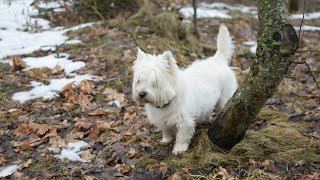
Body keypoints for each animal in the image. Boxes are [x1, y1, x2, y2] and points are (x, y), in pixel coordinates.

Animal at [131, 25, 236, 155]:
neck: (168, 101)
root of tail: (218, 59)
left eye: (155, 82)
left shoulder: (185, 122)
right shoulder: (161, 120)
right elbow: (166, 130)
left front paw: (179, 149)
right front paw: (166, 140)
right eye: (139, 81)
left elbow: (182, 137)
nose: (141, 94)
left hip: (225, 98)